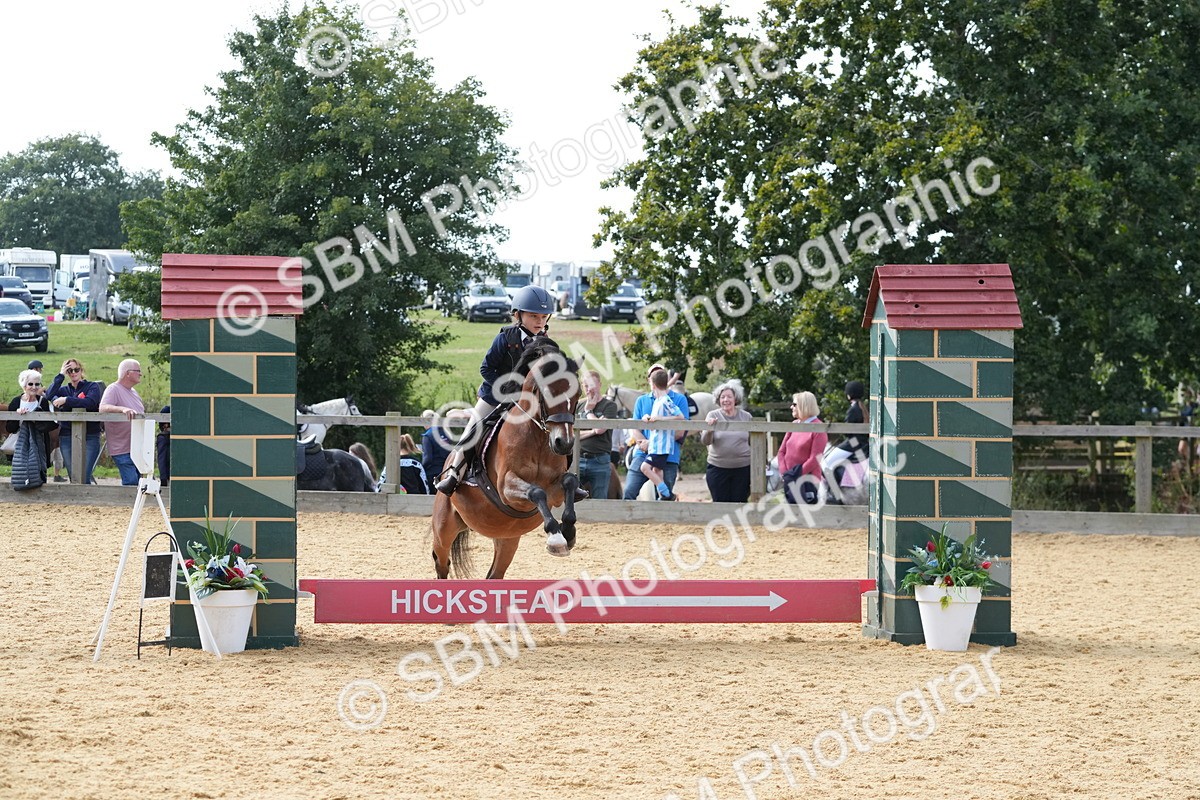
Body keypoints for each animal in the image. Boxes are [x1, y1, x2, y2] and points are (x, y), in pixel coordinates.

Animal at [431, 336, 582, 579]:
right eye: (547, 392)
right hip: (444, 528)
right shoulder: (505, 488)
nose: (564, 443)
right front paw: (556, 538)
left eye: (577, 395)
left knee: (495, 574)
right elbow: (536, 491)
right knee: (441, 563)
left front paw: (568, 532)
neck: (538, 439)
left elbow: (569, 482)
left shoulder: (555, 489)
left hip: (507, 538)